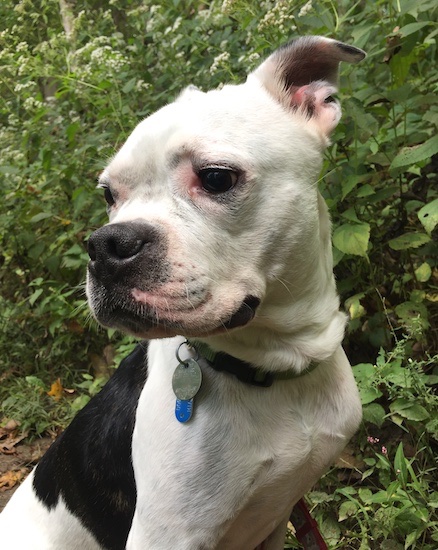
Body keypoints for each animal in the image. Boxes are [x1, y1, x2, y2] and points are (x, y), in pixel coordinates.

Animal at [0, 36, 366, 548]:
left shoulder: (277, 514)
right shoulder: (166, 535)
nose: (105, 245)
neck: (275, 367)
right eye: (109, 195)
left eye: (216, 177)